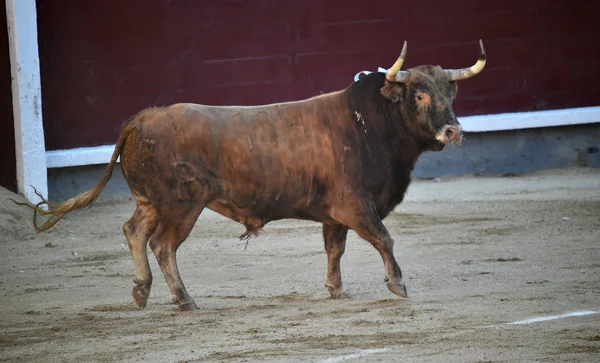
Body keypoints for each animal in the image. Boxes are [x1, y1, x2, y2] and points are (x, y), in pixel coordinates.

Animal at [21, 40, 486, 312]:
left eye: (449, 91)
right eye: (420, 94)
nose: (453, 130)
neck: (372, 123)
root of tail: (141, 119)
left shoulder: (335, 212)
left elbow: (334, 249)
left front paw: (337, 290)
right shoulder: (355, 205)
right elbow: (383, 239)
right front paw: (397, 285)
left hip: (152, 201)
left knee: (134, 231)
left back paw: (142, 291)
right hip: (182, 204)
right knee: (162, 244)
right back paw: (184, 299)